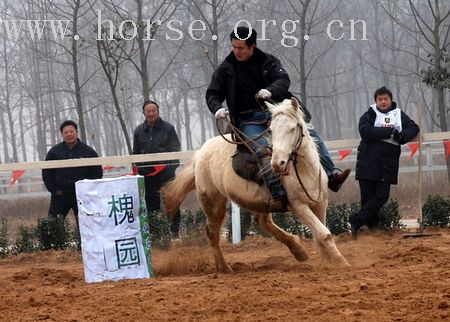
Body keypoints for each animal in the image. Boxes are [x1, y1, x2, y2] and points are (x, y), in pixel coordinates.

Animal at [162, 96, 348, 272]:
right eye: (271, 130)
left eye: (293, 128)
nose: (277, 164)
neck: (303, 169)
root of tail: (200, 153)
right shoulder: (299, 206)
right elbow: (324, 233)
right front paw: (341, 262)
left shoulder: (320, 203)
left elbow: (320, 234)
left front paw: (327, 262)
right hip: (214, 203)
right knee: (213, 234)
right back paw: (224, 267)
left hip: (258, 201)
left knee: (262, 221)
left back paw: (298, 250)